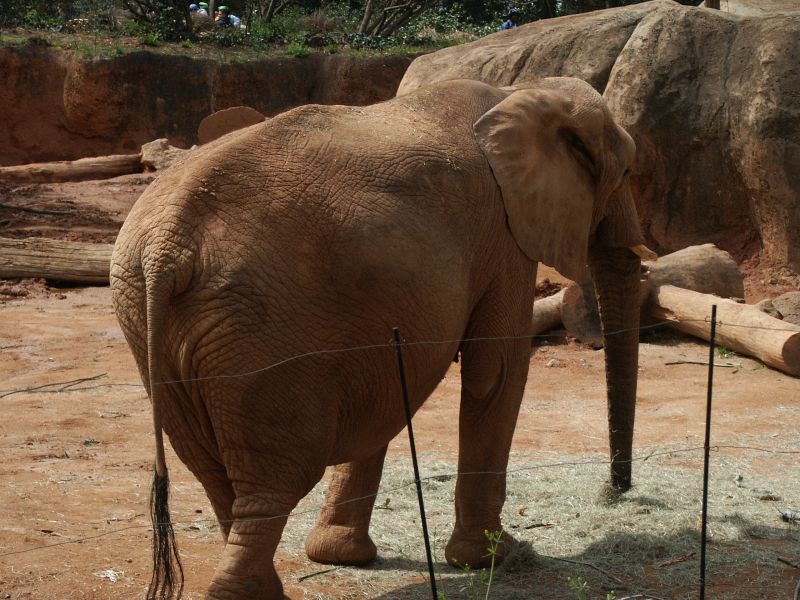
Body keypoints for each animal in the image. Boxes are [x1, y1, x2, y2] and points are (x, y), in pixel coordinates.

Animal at [110, 77, 655, 599]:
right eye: (627, 172)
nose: (619, 492)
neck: (523, 91)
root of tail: (167, 247)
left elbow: (386, 390)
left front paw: (342, 556)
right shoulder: (503, 235)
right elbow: (494, 372)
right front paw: (497, 559)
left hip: (155, 323)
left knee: (215, 473)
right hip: (257, 332)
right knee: (275, 479)